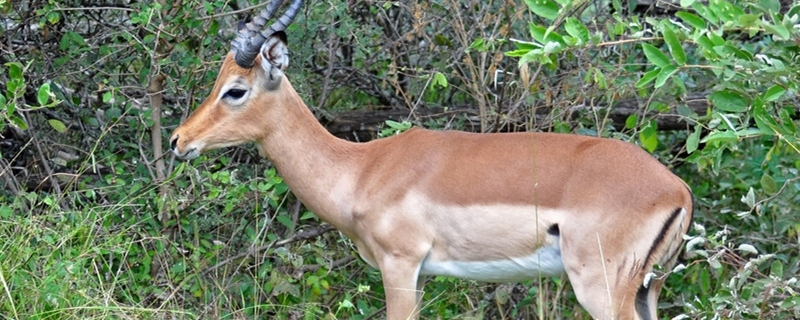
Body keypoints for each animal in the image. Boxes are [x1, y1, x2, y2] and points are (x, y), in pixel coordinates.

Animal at [169, 1, 692, 318]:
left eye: (236, 90)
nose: (178, 140)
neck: (362, 169)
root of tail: (678, 190)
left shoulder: (399, 265)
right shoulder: (420, 274)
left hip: (601, 286)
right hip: (646, 289)